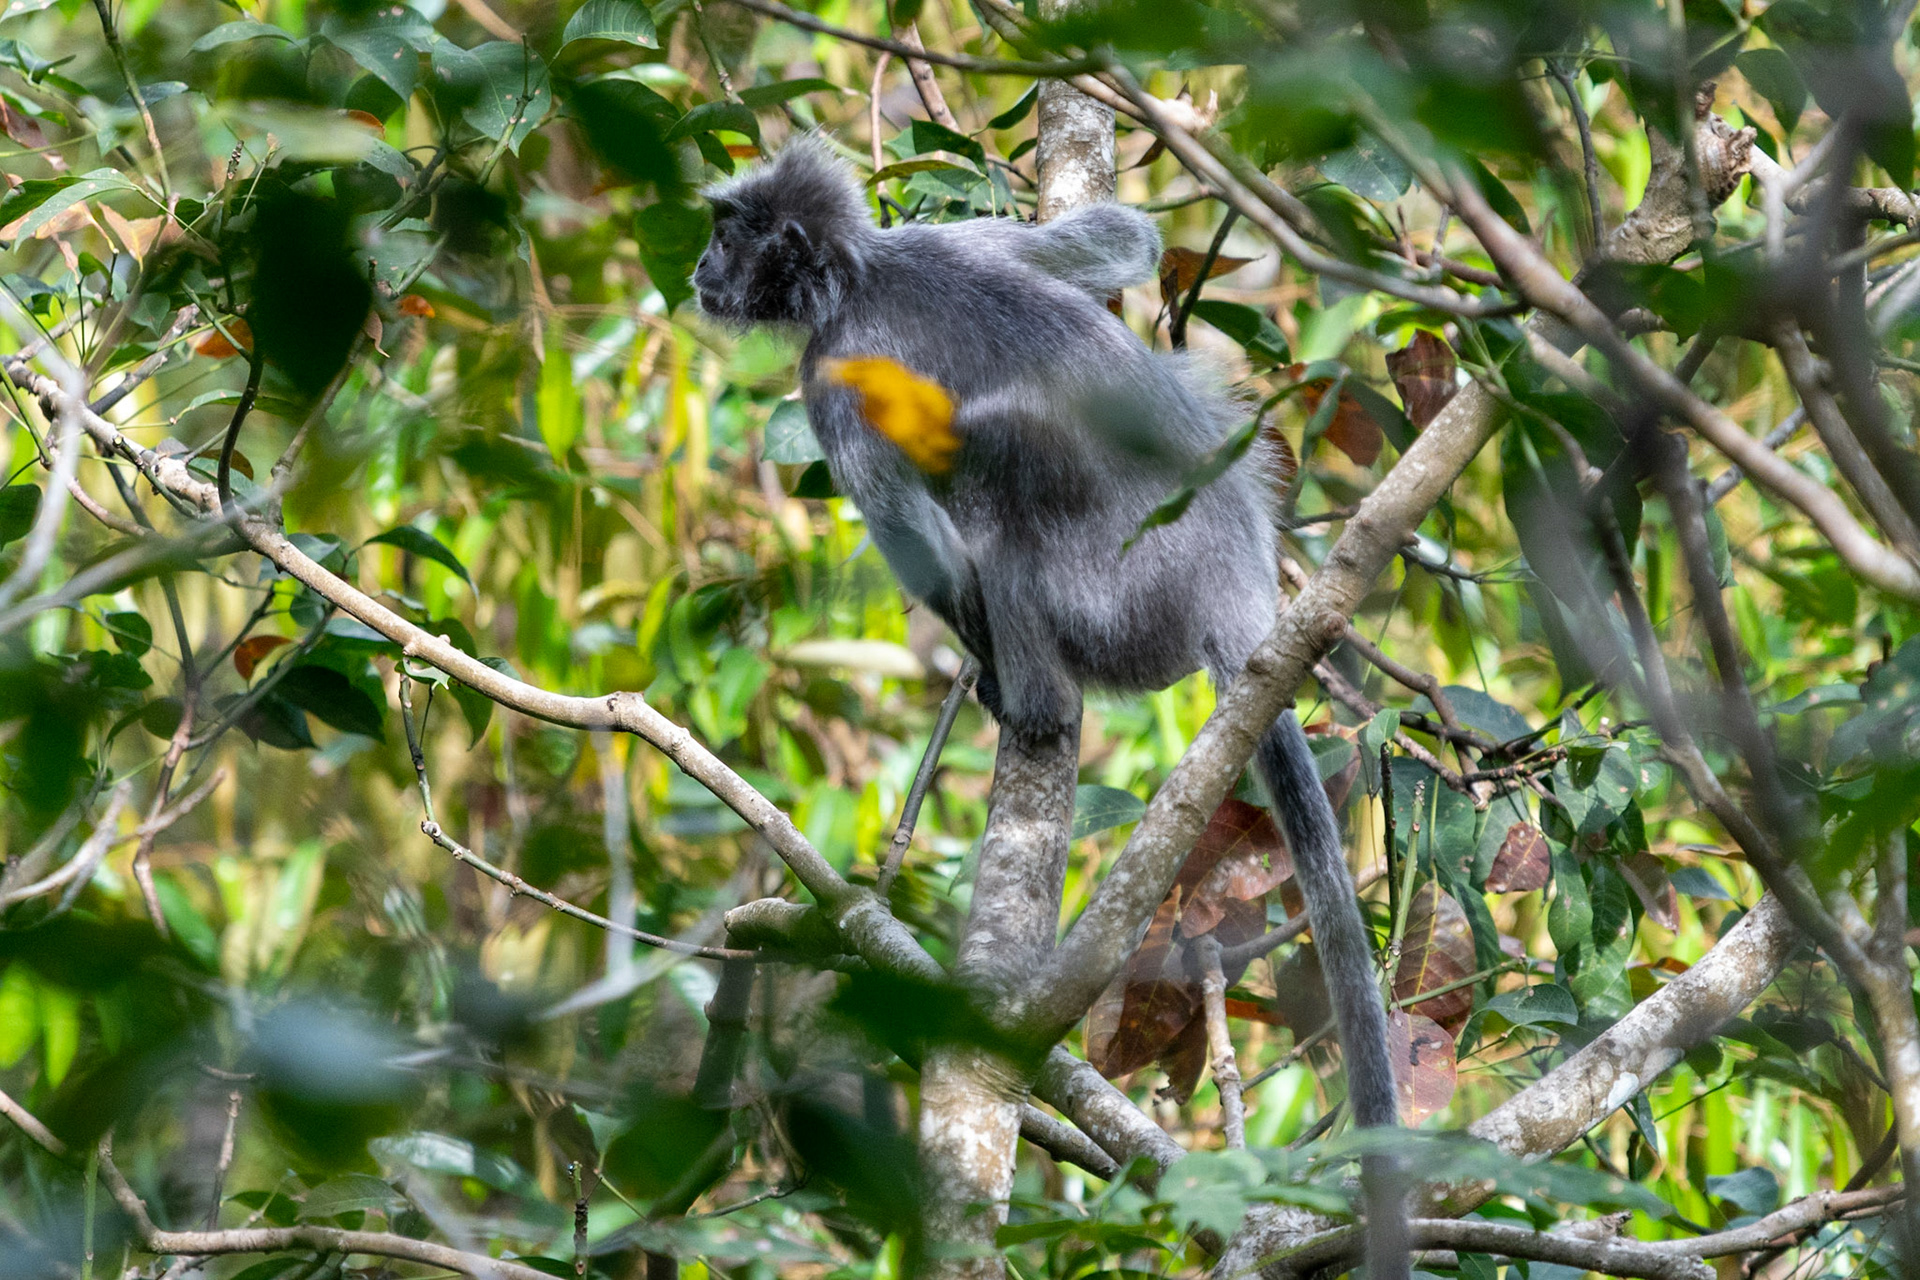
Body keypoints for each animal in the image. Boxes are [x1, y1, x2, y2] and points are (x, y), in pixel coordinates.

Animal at [693, 138, 1405, 1273]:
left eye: (727, 233)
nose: (697, 270)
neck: (864, 275)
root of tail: (1230, 587)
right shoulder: (953, 238)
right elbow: (1119, 239)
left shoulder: (833, 378)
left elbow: (927, 547)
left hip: (1113, 598)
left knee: (998, 456)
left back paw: (1028, 698)